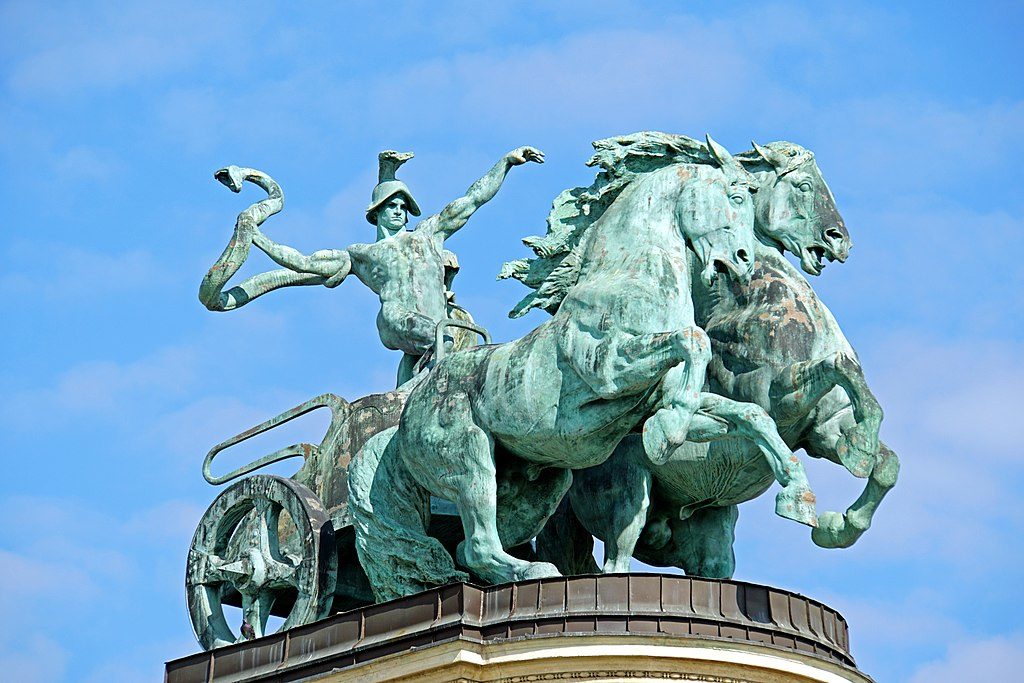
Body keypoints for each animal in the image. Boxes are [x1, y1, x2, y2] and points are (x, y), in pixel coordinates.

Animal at [348, 136, 819, 602]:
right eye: (735, 196)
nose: (742, 260)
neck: (629, 278)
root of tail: (405, 415)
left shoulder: (654, 399)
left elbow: (749, 414)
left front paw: (798, 497)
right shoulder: (612, 369)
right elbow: (693, 342)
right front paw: (667, 436)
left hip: (539, 485)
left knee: (474, 544)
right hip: (468, 459)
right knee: (478, 543)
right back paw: (533, 571)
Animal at [540, 133, 901, 577]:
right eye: (803, 185)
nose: (839, 240)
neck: (756, 302)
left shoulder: (823, 427)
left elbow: (885, 461)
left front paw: (840, 514)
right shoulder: (773, 395)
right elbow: (836, 365)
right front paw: (812, 502)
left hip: (710, 535)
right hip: (626, 499)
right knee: (615, 560)